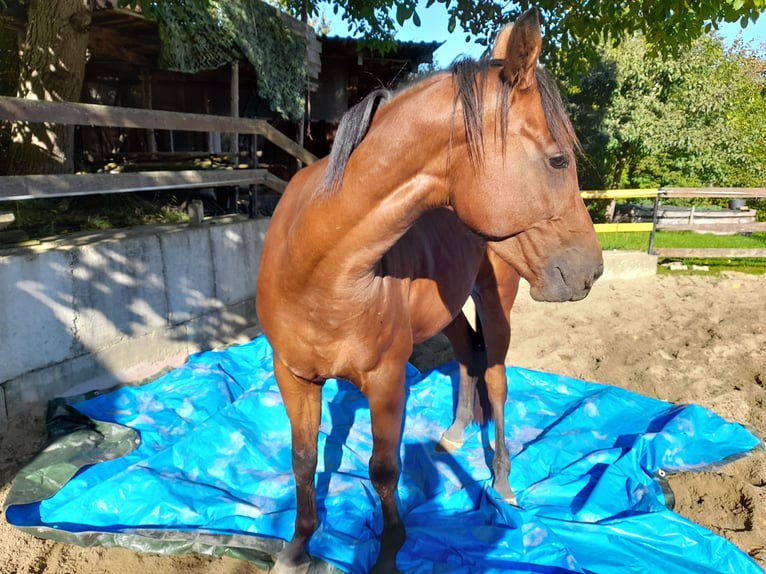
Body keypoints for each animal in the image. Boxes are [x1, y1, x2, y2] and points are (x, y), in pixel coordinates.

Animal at [255, 10, 604, 574]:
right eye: (557, 161)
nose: (591, 271)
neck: (319, 271)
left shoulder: (386, 379)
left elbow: (383, 469)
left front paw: (389, 551)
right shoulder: (293, 375)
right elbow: (303, 458)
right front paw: (298, 545)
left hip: (494, 301)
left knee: (496, 380)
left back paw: (502, 480)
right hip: (449, 306)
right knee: (465, 354)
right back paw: (456, 433)